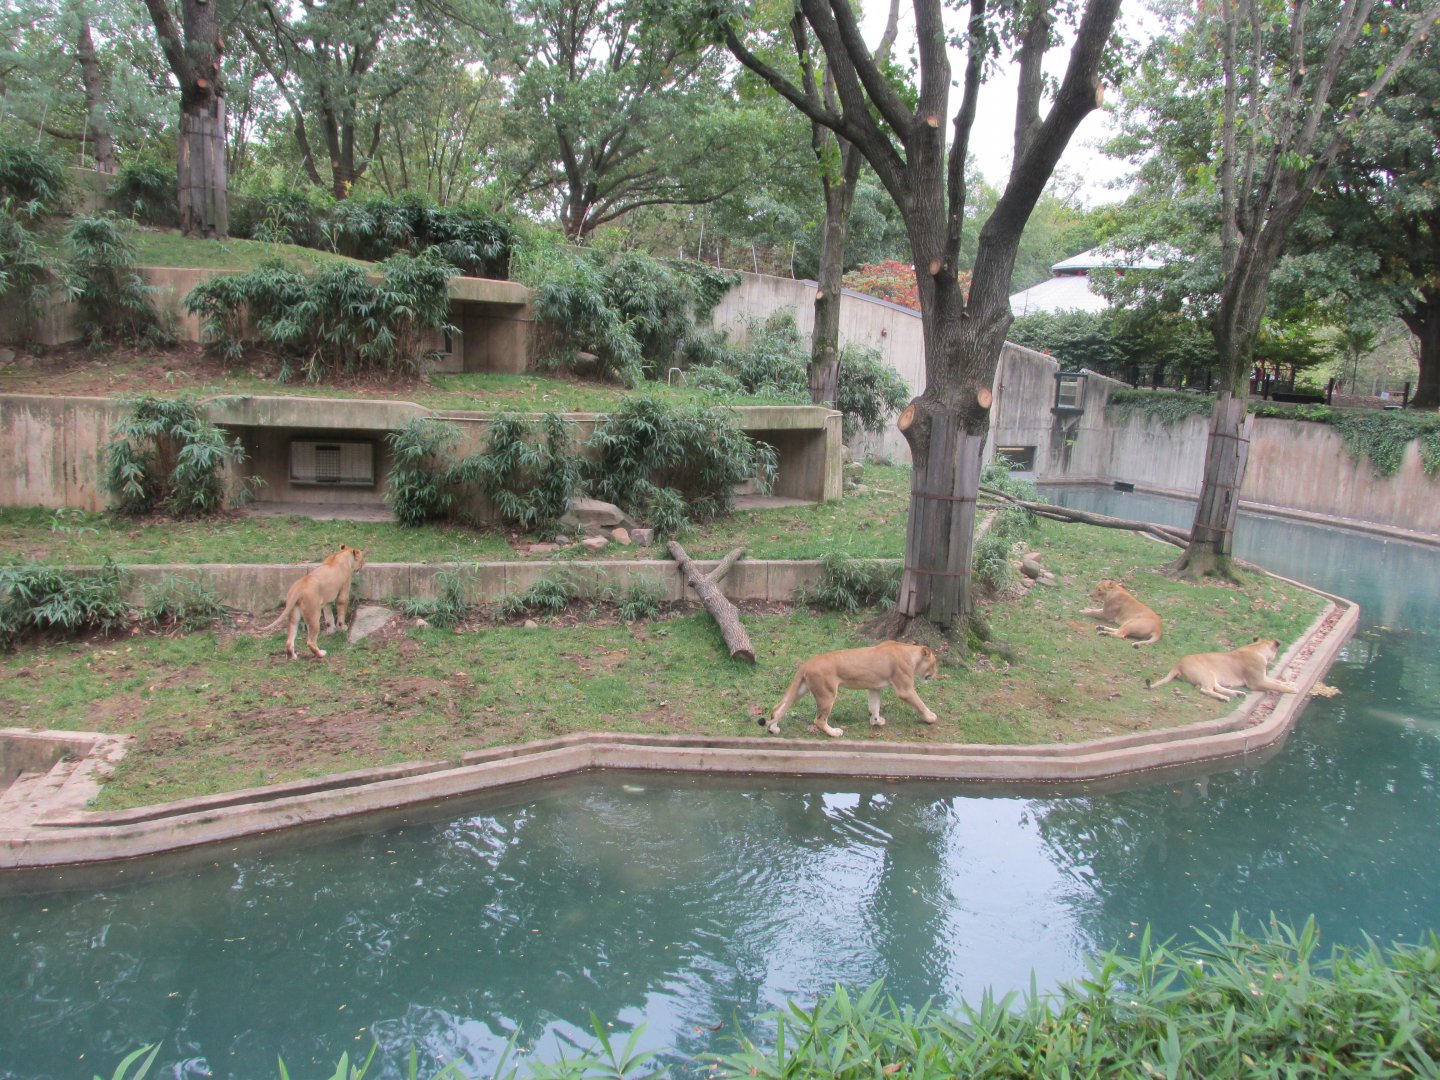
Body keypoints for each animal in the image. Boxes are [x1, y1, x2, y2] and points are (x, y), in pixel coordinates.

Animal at [765, 641, 939, 738]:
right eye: (934, 663)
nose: (935, 673)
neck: (910, 653)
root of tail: (806, 664)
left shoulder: (874, 688)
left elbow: (874, 706)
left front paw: (876, 721)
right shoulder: (905, 690)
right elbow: (920, 703)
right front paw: (931, 717)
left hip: (801, 689)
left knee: (778, 708)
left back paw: (773, 728)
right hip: (827, 694)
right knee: (819, 720)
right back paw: (835, 733)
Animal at [1146, 638, 1297, 701]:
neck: (1256, 648)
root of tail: (1177, 663)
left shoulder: (1263, 677)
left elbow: (1277, 682)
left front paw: (1290, 683)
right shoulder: (1257, 682)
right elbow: (1277, 685)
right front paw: (1292, 689)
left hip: (1212, 675)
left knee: (1216, 687)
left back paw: (1237, 694)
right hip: (1206, 674)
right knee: (1205, 690)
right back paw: (1224, 698)